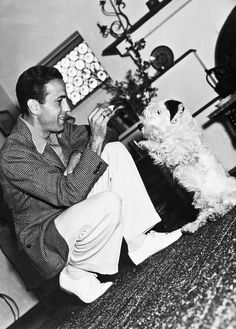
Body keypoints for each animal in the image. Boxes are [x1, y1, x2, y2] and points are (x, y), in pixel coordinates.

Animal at [138, 98, 236, 232]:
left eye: (158, 112)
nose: (139, 126)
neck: (177, 129)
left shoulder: (179, 152)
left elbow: (166, 146)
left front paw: (148, 143)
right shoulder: (166, 160)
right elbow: (159, 154)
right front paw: (144, 144)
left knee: (229, 204)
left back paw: (217, 213)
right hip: (201, 200)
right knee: (204, 215)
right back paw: (193, 225)